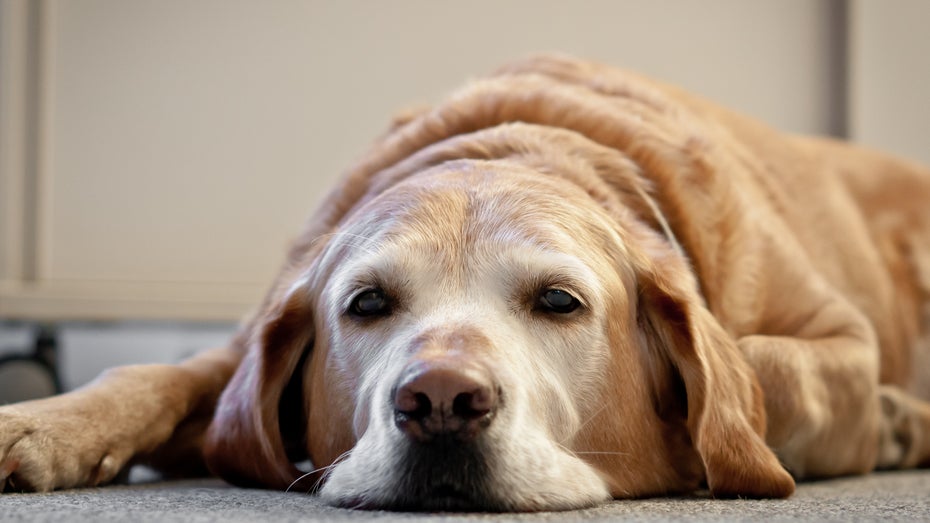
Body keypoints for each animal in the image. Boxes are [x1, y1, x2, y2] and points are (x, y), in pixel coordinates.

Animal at [1, 56, 928, 512]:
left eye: (559, 300)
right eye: (367, 303)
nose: (441, 400)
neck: (522, 139)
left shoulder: (840, 337)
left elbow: (761, 359)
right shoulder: (253, 331)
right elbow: (159, 372)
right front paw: (43, 423)